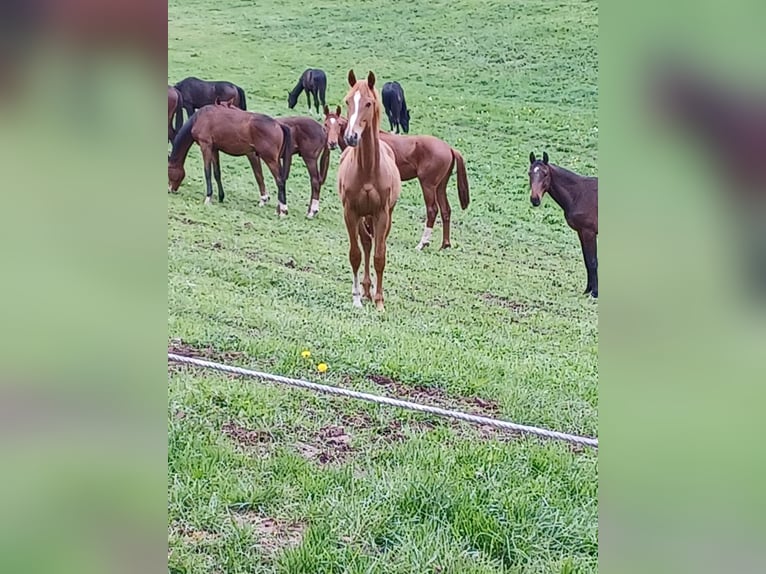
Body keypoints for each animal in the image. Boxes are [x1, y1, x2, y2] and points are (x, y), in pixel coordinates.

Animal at [324, 105, 469, 249]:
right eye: (325, 124)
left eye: (339, 124)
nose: (332, 143)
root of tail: (449, 148)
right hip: (440, 186)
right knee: (446, 210)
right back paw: (445, 244)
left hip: (428, 185)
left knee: (432, 210)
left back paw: (422, 243)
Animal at [337, 70, 402, 311]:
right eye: (347, 101)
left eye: (368, 103)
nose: (351, 137)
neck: (367, 170)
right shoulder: (350, 212)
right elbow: (355, 254)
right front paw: (357, 297)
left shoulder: (382, 214)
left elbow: (380, 257)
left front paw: (380, 301)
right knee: (365, 244)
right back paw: (365, 290)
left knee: (374, 246)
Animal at [528, 152, 598, 298]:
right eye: (529, 173)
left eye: (545, 174)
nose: (535, 199)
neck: (579, 194)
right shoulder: (581, 232)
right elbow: (587, 261)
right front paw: (587, 290)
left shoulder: (589, 232)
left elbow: (592, 261)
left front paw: (594, 293)